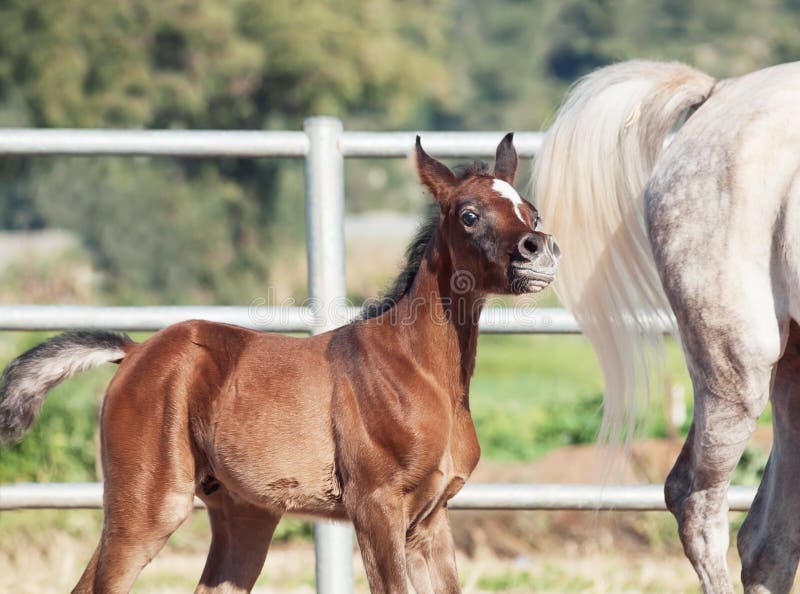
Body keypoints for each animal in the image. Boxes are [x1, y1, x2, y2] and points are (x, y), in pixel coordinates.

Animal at [1, 135, 556, 592]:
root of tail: (136, 352)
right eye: (469, 214)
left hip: (244, 516)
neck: (416, 372)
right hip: (148, 504)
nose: (539, 250)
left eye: (530, 212)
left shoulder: (429, 521)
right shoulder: (375, 507)